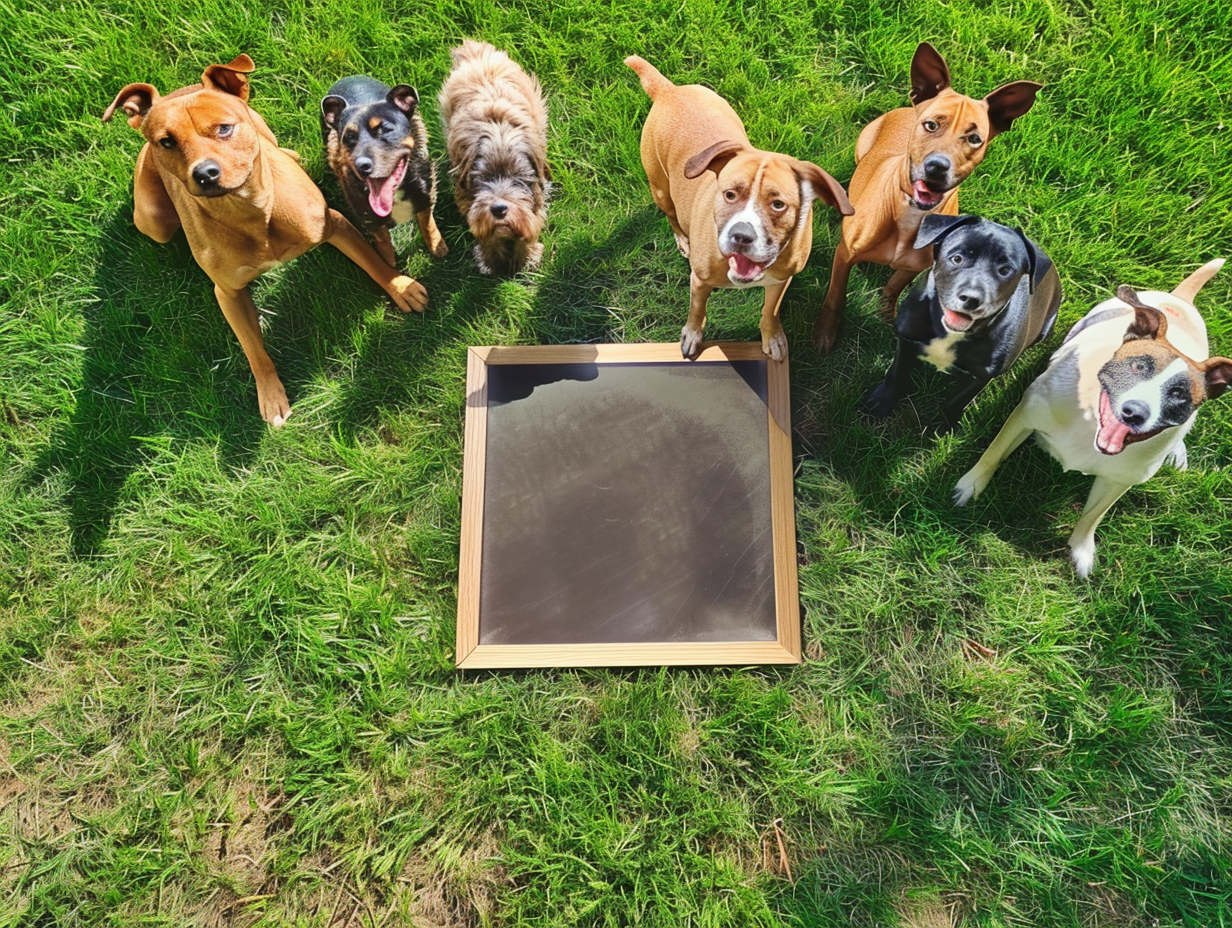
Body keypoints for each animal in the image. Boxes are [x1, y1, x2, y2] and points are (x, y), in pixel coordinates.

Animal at [102, 54, 428, 423]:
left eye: (224, 128)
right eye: (167, 141)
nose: (205, 174)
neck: (251, 212)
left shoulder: (336, 224)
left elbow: (374, 264)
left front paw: (401, 287)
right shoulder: (228, 293)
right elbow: (254, 350)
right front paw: (271, 395)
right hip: (152, 220)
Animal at [322, 76, 448, 266]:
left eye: (384, 129)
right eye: (349, 138)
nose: (361, 165)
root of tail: (348, 78)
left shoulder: (426, 197)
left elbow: (427, 224)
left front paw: (437, 246)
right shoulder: (371, 221)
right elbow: (384, 244)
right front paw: (389, 265)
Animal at [436, 41, 547, 273]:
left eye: (518, 179)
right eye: (482, 179)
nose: (498, 208)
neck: (499, 138)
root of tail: (476, 54)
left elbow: (529, 228)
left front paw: (524, 258)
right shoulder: (470, 202)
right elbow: (485, 233)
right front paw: (491, 262)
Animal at [625, 53, 857, 357]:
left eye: (778, 204)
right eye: (730, 194)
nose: (741, 236)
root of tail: (669, 91)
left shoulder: (780, 281)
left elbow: (770, 311)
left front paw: (772, 337)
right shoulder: (699, 281)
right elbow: (696, 311)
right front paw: (692, 336)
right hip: (661, 190)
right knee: (672, 216)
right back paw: (683, 239)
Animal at [951, 261, 1232, 576]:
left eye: (1180, 395)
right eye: (1138, 366)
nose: (1135, 413)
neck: (1091, 423)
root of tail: (1181, 300)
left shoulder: (1118, 481)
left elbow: (1093, 515)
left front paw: (1081, 550)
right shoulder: (1024, 416)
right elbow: (993, 455)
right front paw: (970, 487)